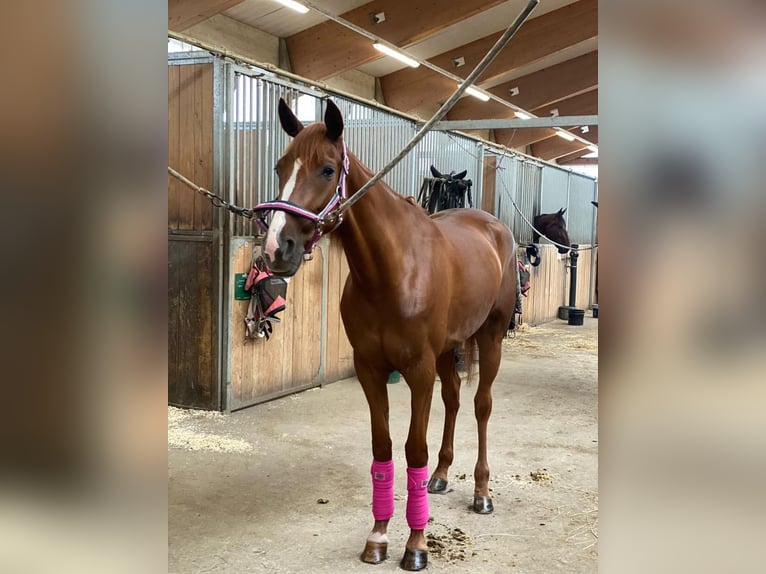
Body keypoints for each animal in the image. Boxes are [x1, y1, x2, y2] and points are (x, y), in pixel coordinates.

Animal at [260, 99, 520, 572]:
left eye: (327, 169)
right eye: (280, 166)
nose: (275, 249)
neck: (393, 270)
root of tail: (495, 228)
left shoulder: (417, 370)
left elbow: (413, 449)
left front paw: (416, 544)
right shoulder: (370, 369)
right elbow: (382, 449)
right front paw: (378, 537)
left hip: (489, 340)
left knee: (481, 406)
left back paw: (481, 492)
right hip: (447, 352)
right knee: (453, 399)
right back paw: (441, 476)